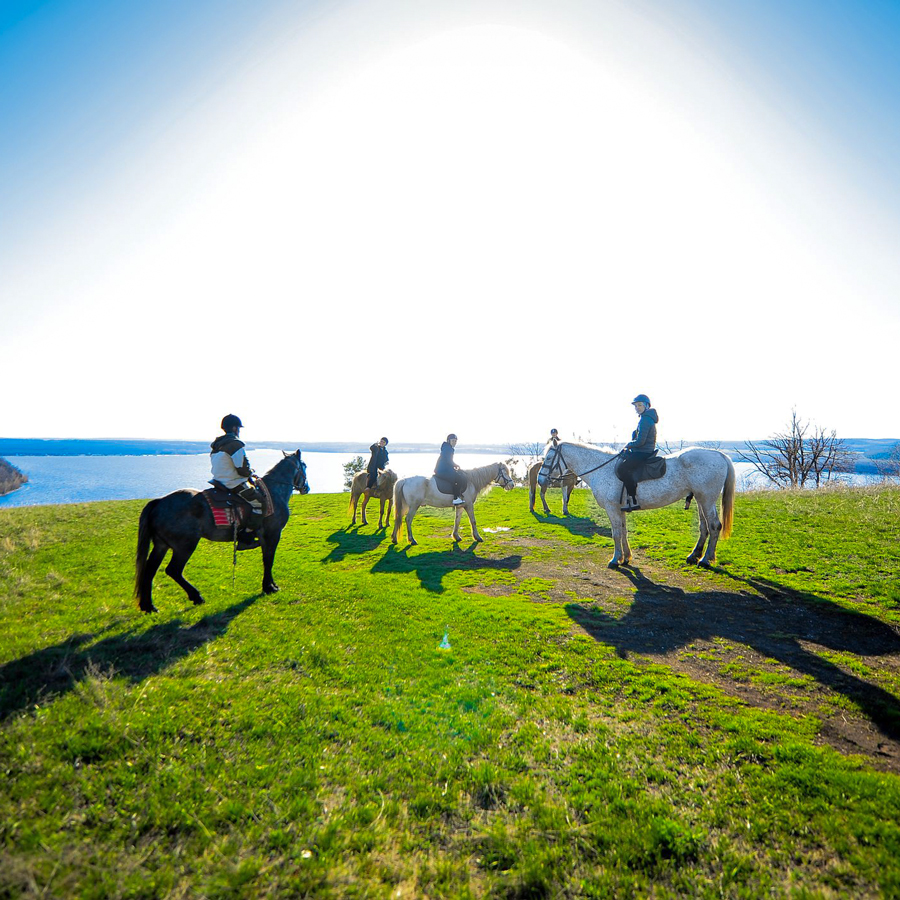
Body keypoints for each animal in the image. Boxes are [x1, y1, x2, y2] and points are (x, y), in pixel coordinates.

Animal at [134, 450, 310, 612]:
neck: (273, 493)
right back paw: (196, 596)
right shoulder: (272, 534)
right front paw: (269, 587)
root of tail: (159, 502)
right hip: (185, 546)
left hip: (161, 545)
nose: (306, 488)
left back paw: (148, 606)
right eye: (305, 466)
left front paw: (270, 585)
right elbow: (268, 560)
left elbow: (267, 559)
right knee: (173, 570)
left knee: (149, 571)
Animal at [536, 442, 736, 568]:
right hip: (701, 500)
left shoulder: (612, 509)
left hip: (706, 499)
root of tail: (718, 454)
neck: (602, 468)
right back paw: (694, 555)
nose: (540, 480)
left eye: (548, 459)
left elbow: (616, 533)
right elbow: (623, 532)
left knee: (714, 526)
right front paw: (626, 558)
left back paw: (706, 559)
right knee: (704, 527)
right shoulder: (619, 510)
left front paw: (615, 559)